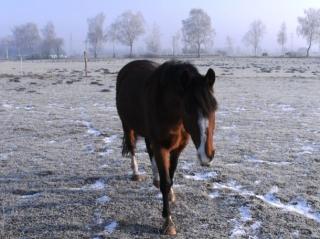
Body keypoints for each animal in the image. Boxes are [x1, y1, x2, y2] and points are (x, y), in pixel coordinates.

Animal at [115, 59, 218, 235]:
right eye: (187, 110)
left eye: (214, 108)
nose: (207, 155)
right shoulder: (161, 147)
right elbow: (166, 181)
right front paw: (168, 222)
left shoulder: (178, 148)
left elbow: (171, 175)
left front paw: (170, 194)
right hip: (127, 125)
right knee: (132, 147)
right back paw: (136, 173)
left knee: (149, 151)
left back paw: (154, 178)